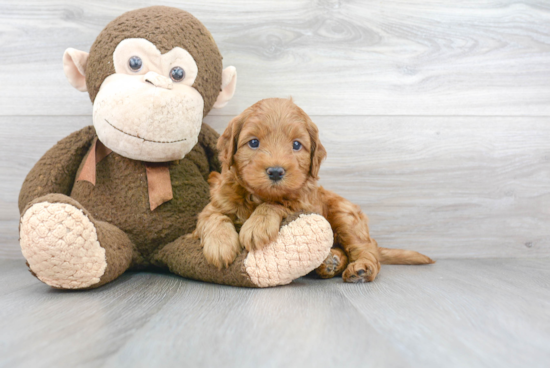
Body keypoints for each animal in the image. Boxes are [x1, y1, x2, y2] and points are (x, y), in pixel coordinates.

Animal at [194, 97, 436, 282]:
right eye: (253, 143)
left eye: (296, 145)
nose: (276, 171)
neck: (257, 196)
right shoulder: (215, 204)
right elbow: (213, 217)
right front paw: (220, 246)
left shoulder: (305, 203)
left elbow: (277, 203)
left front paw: (257, 225)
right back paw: (330, 262)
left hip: (345, 216)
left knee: (367, 249)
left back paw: (361, 269)